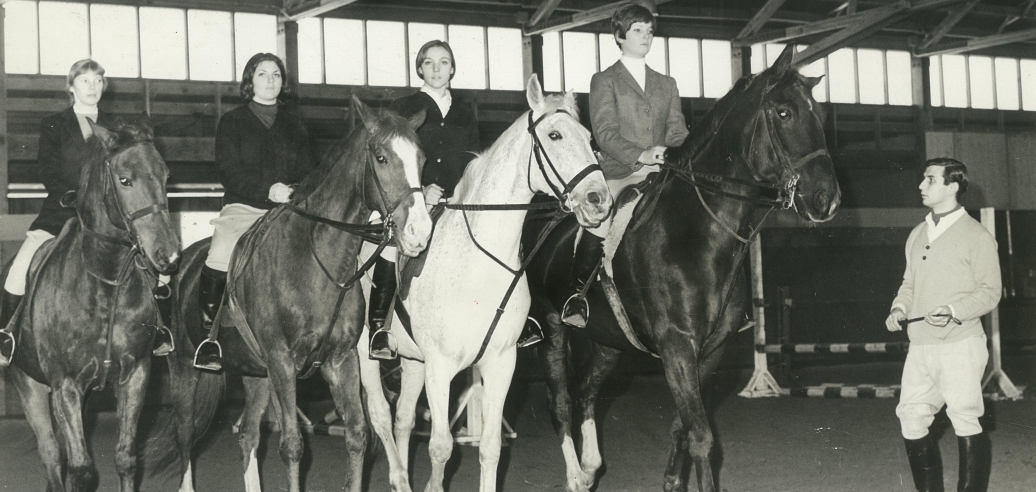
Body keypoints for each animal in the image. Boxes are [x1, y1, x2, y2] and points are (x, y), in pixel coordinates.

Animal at [1, 116, 178, 492]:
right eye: (124, 180)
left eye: (166, 175)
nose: (168, 256)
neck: (106, 281)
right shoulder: (65, 385)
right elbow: (82, 470)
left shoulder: (135, 376)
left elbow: (126, 460)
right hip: (30, 385)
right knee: (52, 456)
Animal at [151, 97, 430, 492]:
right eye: (381, 157)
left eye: (421, 159)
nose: (420, 233)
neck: (318, 260)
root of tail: (183, 263)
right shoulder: (282, 361)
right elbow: (293, 445)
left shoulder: (341, 360)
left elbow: (357, 435)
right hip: (185, 371)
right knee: (185, 434)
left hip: (256, 375)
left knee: (248, 435)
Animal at [358, 74, 609, 492]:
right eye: (555, 135)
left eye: (590, 139)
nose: (599, 200)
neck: (480, 263)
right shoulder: (441, 367)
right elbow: (441, 448)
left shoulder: (500, 362)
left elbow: (490, 448)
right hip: (365, 355)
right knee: (380, 416)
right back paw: (397, 476)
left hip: (412, 361)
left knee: (403, 420)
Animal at [526, 46, 841, 492]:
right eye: (784, 113)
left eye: (819, 114)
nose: (826, 200)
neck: (697, 230)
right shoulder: (677, 347)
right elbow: (702, 436)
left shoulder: (710, 351)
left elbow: (683, 428)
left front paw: (673, 481)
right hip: (553, 328)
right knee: (561, 402)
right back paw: (576, 476)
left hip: (609, 341)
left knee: (587, 391)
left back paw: (590, 465)